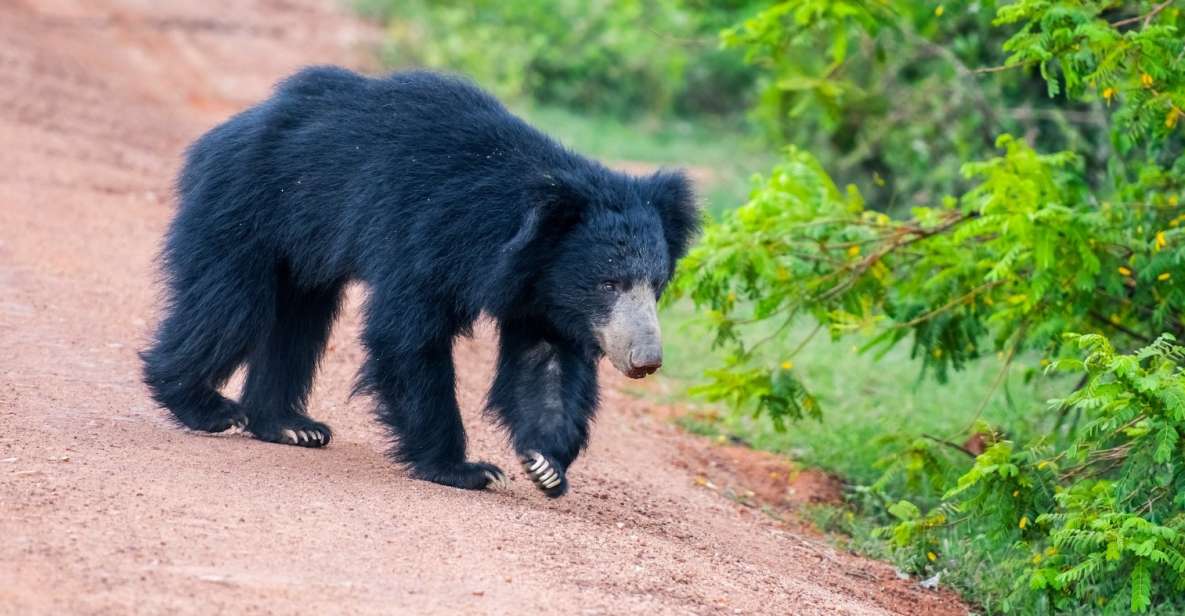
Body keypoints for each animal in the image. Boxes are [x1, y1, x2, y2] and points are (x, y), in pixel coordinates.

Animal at [139, 67, 696, 497]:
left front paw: (546, 465)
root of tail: (226, 131)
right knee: (230, 308)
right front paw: (466, 469)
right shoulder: (424, 235)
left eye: (655, 284)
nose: (646, 360)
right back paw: (205, 406)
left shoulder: (542, 289)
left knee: (298, 325)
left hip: (300, 249)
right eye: (609, 283)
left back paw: (291, 426)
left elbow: (546, 364)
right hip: (247, 207)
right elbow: (407, 338)